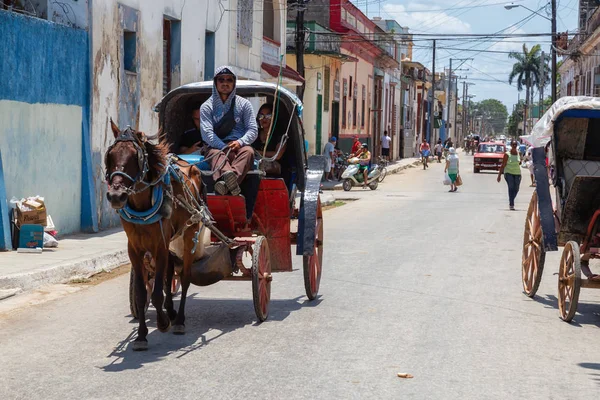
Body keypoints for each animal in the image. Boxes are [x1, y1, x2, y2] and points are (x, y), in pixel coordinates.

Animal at [103, 119, 206, 350]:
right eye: (110, 156)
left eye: (135, 157)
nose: (116, 196)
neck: (142, 205)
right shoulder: (134, 249)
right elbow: (143, 293)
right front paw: (141, 335)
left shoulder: (159, 245)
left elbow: (157, 291)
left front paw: (163, 322)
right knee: (169, 275)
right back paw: (172, 310)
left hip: (189, 233)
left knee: (184, 278)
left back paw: (179, 320)